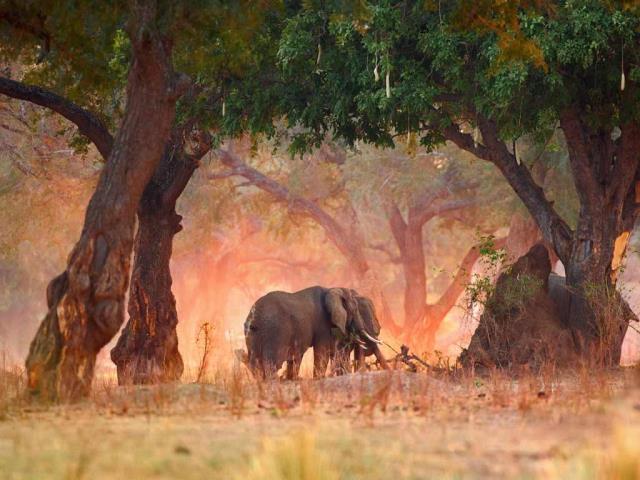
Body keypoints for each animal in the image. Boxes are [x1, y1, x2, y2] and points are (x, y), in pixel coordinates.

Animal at [243, 286, 387, 380]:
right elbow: (322, 351)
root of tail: (254, 316)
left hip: (253, 334)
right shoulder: (322, 323)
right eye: (355, 309)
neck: (333, 289)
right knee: (272, 363)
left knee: (255, 362)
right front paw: (319, 379)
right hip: (276, 331)